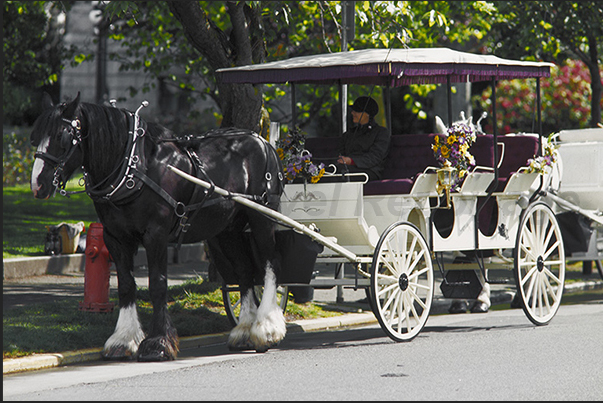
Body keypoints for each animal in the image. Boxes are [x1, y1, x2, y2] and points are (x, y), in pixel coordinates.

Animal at [30, 93, 288, 362]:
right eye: (34, 137)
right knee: (244, 271)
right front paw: (123, 339)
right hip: (228, 229)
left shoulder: (156, 235)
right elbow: (126, 285)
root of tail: (262, 141)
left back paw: (266, 328)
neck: (135, 167)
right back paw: (245, 330)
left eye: (62, 137)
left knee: (271, 265)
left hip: (261, 217)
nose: (38, 184)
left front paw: (158, 343)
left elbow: (157, 284)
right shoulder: (115, 237)